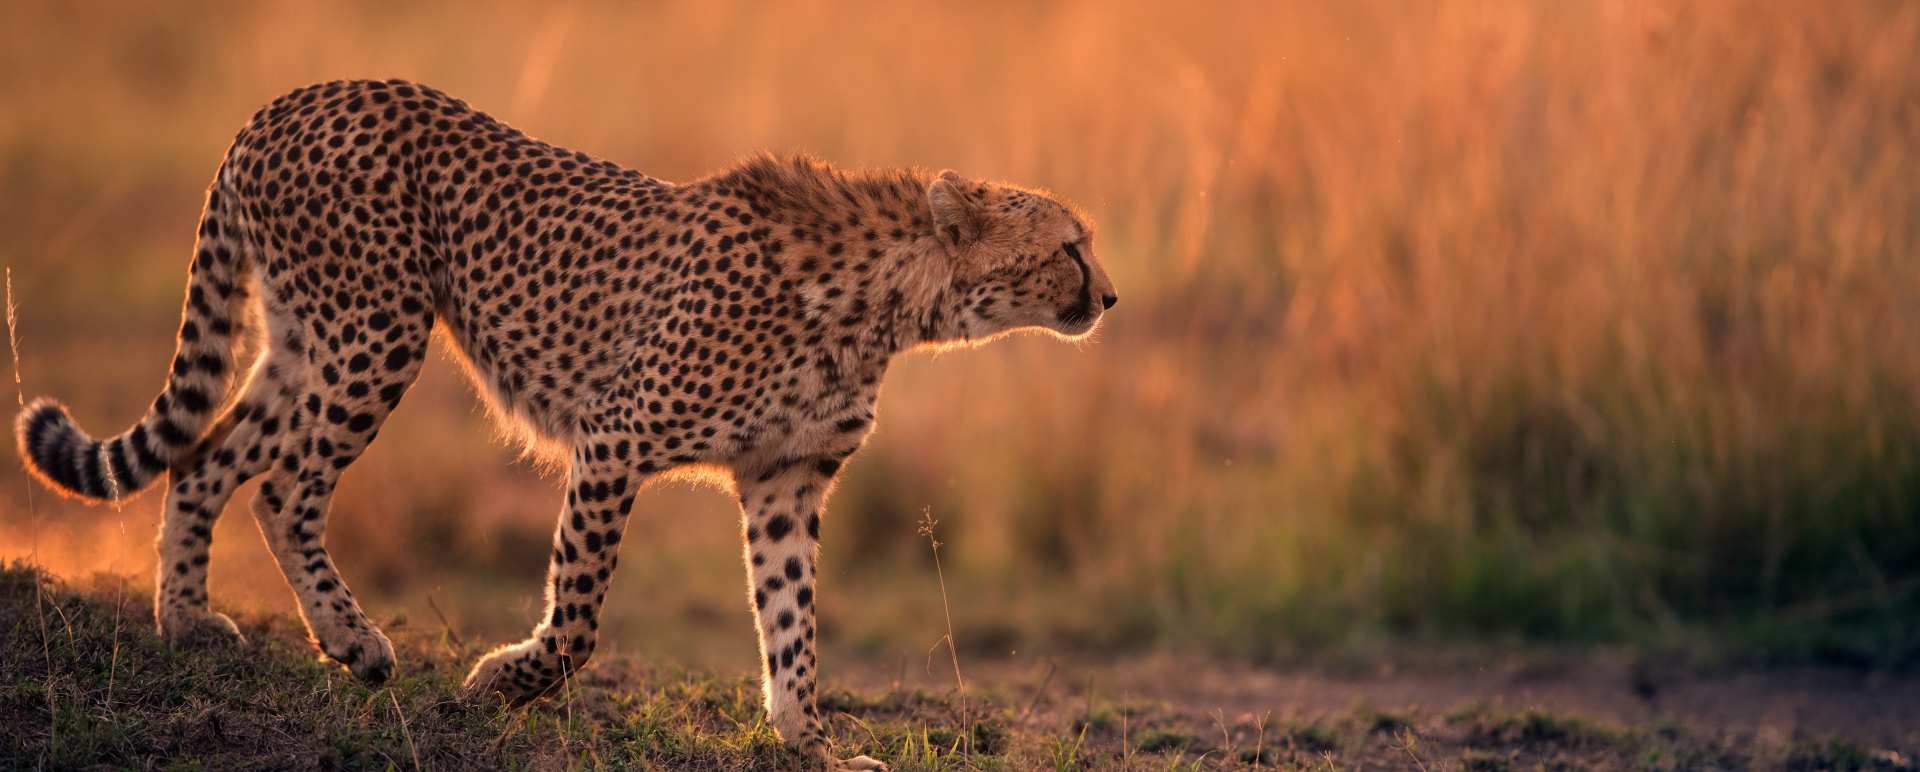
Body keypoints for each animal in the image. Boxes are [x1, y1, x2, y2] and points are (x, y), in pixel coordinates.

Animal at [13, 79, 1115, 770]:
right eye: (1070, 245)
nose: (1110, 295)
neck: (888, 300)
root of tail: (296, 98)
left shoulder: (786, 479)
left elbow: (792, 623)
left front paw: (810, 744)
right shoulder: (616, 437)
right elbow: (581, 617)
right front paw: (502, 683)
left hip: (302, 341)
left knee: (205, 460)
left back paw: (186, 625)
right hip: (377, 332)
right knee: (284, 486)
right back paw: (356, 644)